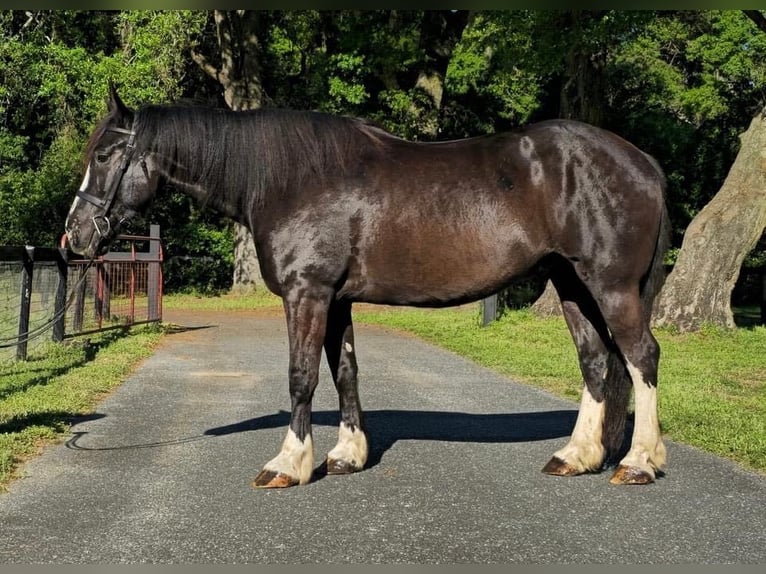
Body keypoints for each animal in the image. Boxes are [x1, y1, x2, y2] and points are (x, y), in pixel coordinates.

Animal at [66, 88, 668, 488]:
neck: (290, 178)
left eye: (104, 155)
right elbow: (345, 372)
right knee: (596, 362)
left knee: (641, 356)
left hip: (611, 286)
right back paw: (576, 456)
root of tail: (643, 162)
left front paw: (288, 464)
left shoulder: (307, 294)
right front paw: (347, 456)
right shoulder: (336, 299)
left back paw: (639, 462)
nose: (73, 235)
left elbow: (302, 376)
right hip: (571, 284)